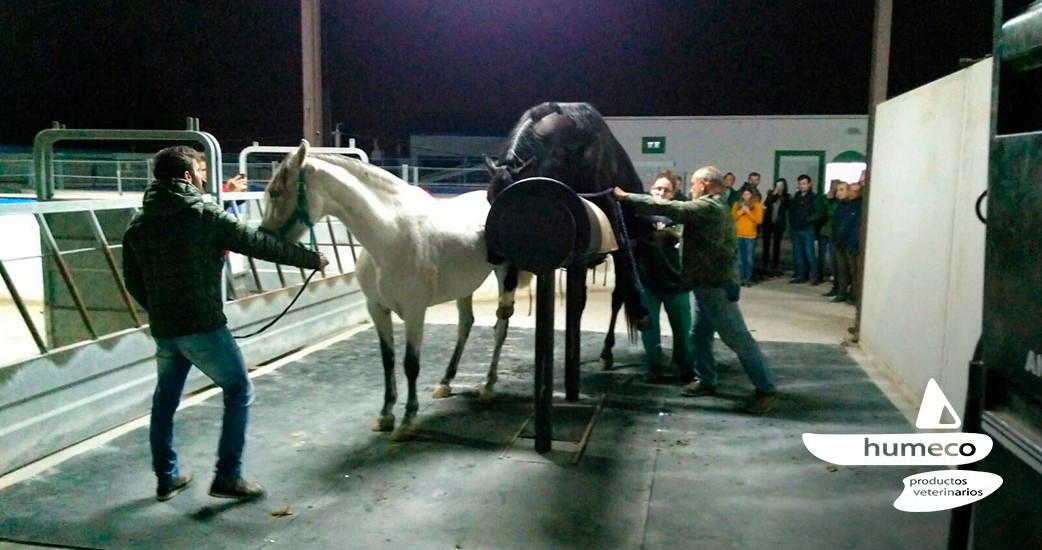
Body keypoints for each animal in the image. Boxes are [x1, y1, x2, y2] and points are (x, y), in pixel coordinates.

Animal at [258, 139, 518, 439]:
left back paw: (488, 386)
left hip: (504, 276)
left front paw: (406, 420)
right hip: (464, 285)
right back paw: (445, 381)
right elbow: (388, 361)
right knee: (465, 324)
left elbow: (410, 364)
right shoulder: (377, 309)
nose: (263, 237)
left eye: (276, 192)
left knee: (500, 328)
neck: (390, 236)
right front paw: (385, 415)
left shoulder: (415, 312)